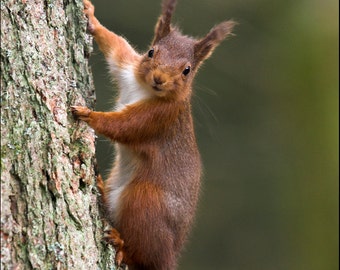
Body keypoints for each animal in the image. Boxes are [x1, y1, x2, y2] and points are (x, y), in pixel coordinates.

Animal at [72, 1, 234, 268]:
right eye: (150, 52)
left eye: (187, 70)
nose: (159, 79)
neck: (144, 89)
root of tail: (169, 257)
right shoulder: (127, 68)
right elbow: (116, 46)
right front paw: (91, 16)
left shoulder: (158, 118)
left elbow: (124, 127)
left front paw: (88, 115)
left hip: (144, 200)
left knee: (141, 254)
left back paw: (121, 245)